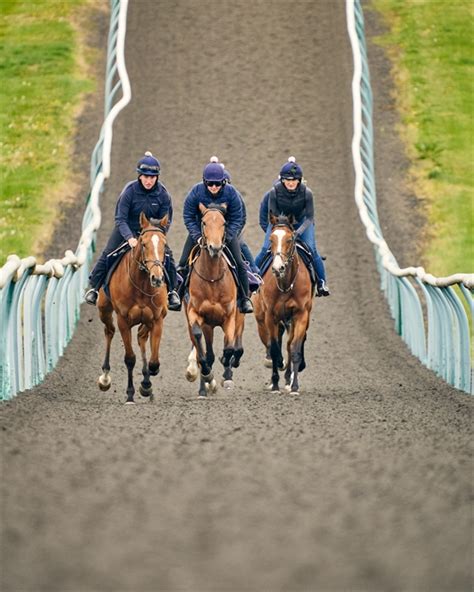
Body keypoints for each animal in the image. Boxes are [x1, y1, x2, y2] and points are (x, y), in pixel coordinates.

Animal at [96, 212, 168, 402]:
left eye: (164, 244)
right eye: (143, 244)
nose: (157, 278)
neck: (141, 285)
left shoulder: (157, 319)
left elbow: (154, 362)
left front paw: (147, 383)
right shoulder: (123, 320)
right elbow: (129, 359)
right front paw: (130, 394)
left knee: (141, 337)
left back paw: (146, 382)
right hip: (104, 309)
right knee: (109, 331)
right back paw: (105, 377)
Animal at [184, 204, 246, 398]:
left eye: (224, 223)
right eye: (204, 222)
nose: (215, 248)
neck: (212, 279)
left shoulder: (230, 316)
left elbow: (229, 348)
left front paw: (226, 368)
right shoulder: (197, 315)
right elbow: (200, 344)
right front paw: (205, 374)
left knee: (234, 346)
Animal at [252, 213, 314, 394]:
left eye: (290, 239)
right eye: (271, 239)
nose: (278, 268)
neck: (286, 285)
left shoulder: (301, 314)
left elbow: (294, 348)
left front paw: (294, 386)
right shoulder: (270, 315)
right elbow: (273, 349)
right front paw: (274, 383)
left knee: (288, 344)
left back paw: (288, 377)